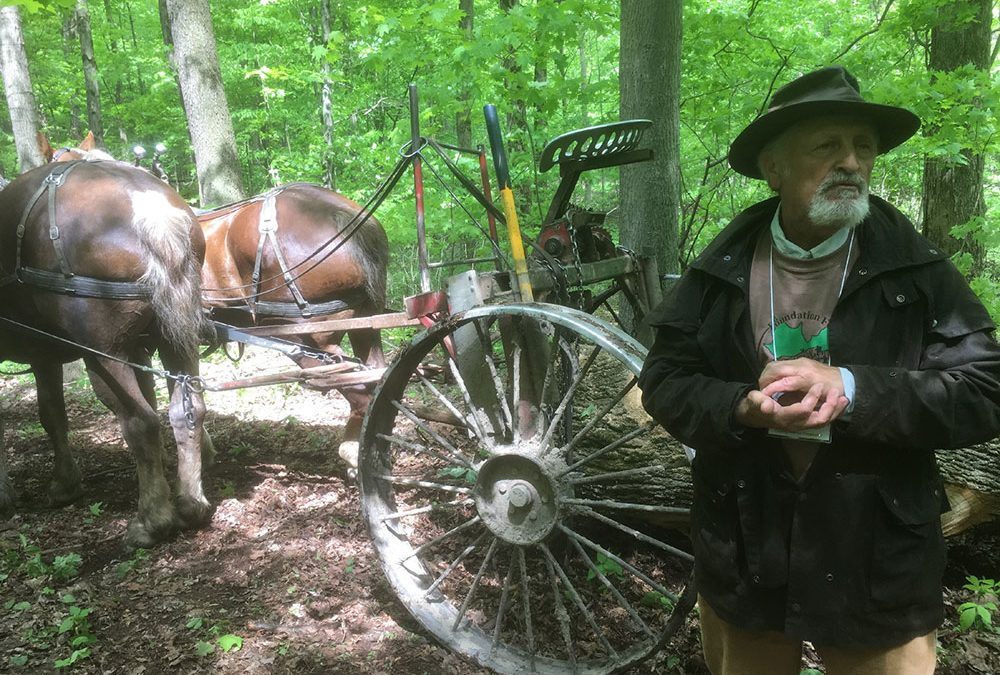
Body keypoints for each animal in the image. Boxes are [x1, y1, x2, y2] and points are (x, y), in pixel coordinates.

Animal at [0, 149, 213, 548]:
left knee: (140, 421)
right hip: (174, 337)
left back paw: (152, 521)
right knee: (185, 410)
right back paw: (190, 503)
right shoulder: (48, 354)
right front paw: (65, 483)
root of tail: (147, 204)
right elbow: (52, 413)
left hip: (102, 353)